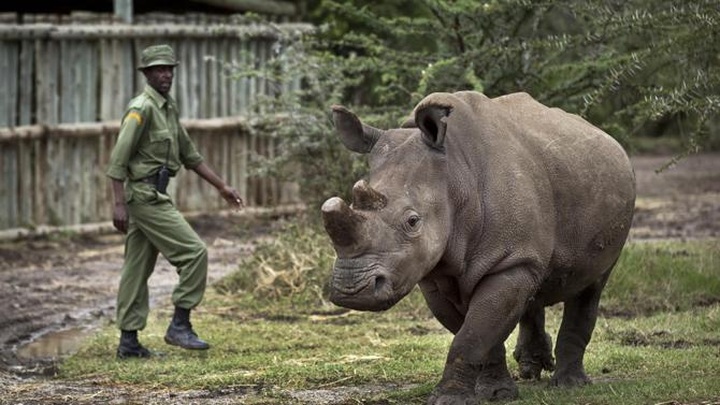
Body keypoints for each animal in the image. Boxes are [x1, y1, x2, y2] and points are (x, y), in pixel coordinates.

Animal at [321, 91, 636, 404]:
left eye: (412, 221)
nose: (352, 290)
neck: (454, 176)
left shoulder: (509, 262)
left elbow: (472, 335)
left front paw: (450, 399)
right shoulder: (435, 273)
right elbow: (480, 333)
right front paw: (496, 393)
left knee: (591, 286)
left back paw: (569, 385)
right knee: (535, 282)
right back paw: (532, 368)